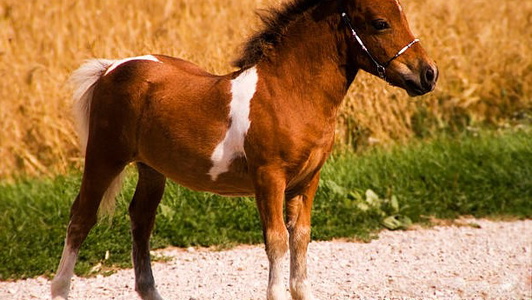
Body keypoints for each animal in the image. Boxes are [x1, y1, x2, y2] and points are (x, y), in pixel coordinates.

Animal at [52, 0, 438, 298]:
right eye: (380, 23)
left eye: (404, 15)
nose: (428, 74)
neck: (288, 93)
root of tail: (110, 69)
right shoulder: (269, 178)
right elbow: (277, 240)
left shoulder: (307, 181)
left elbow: (301, 239)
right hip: (104, 157)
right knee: (81, 218)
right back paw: (60, 288)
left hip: (152, 170)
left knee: (141, 220)